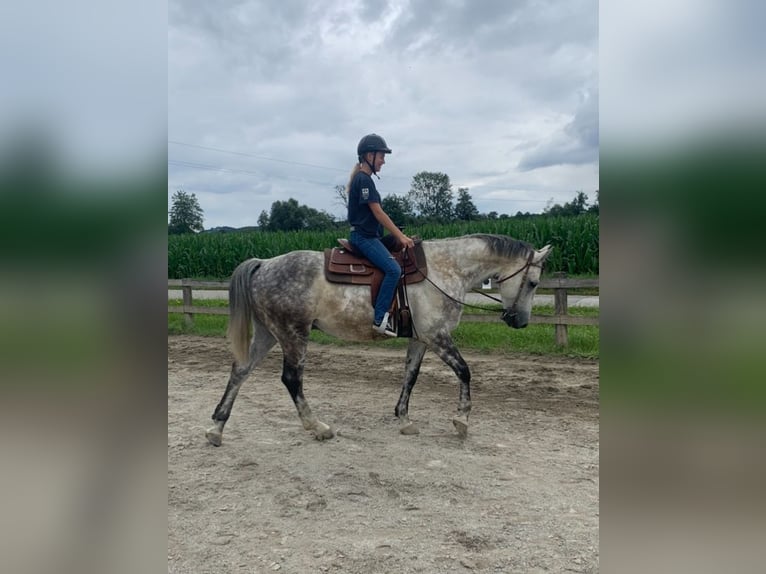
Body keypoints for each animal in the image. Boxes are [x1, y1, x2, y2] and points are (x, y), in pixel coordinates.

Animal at [204, 234, 552, 446]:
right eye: (533, 283)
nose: (520, 322)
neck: (444, 270)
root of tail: (264, 264)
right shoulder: (438, 336)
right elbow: (464, 371)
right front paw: (461, 419)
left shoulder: (421, 339)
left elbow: (410, 375)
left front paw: (404, 418)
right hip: (293, 334)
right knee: (291, 379)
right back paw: (318, 427)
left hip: (268, 333)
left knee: (240, 370)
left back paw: (216, 428)